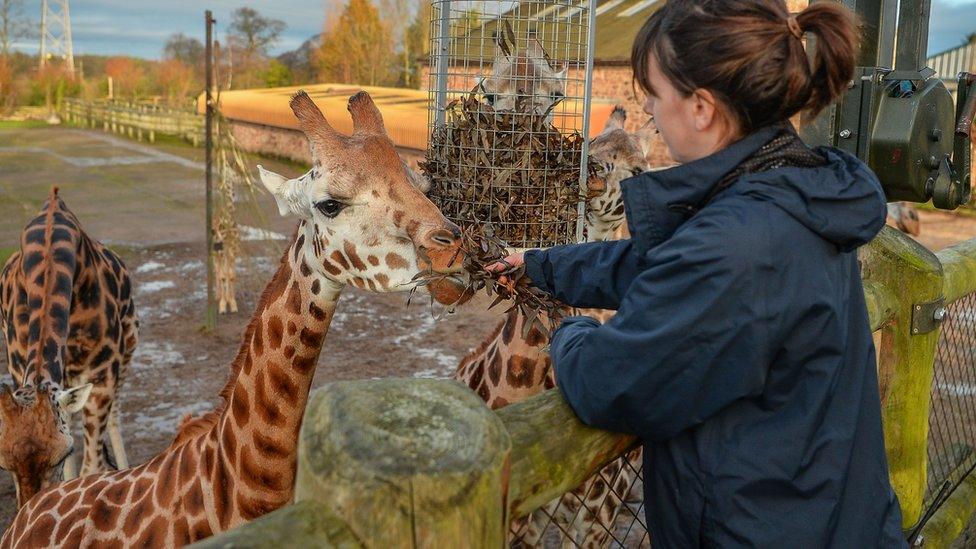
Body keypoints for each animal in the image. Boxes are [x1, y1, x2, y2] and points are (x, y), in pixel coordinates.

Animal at [0, 188, 138, 506]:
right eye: (3, 464)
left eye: (62, 454)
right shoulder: (18, 370)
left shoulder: (103, 374)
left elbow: (93, 465)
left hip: (128, 347)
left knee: (115, 417)